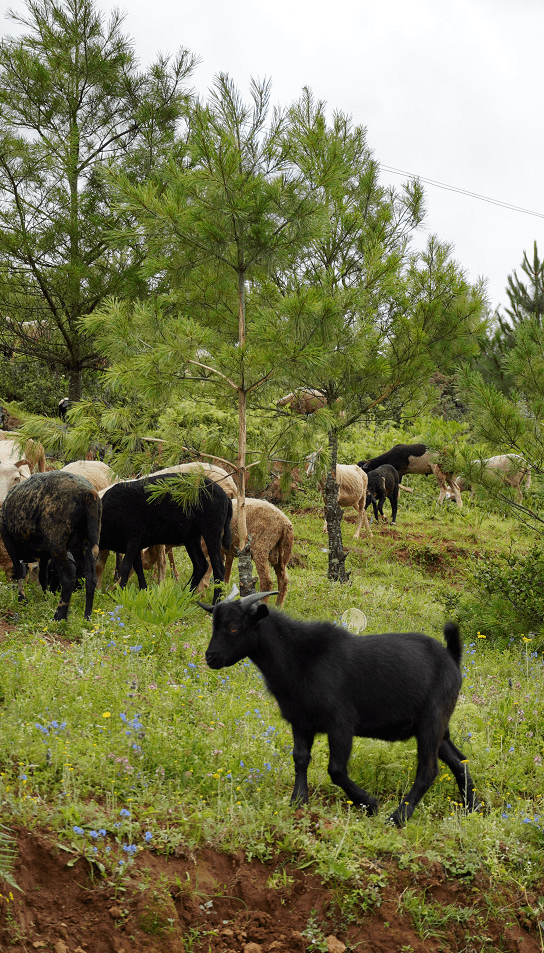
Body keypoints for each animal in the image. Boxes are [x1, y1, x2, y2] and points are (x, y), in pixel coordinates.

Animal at [202, 596, 478, 824]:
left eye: (233, 627)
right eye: (214, 625)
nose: (211, 657)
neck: (299, 657)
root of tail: (452, 658)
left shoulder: (341, 723)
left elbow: (335, 769)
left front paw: (370, 804)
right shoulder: (301, 721)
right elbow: (300, 758)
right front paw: (298, 802)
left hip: (433, 718)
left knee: (428, 770)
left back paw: (398, 817)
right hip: (433, 725)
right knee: (459, 761)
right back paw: (473, 808)